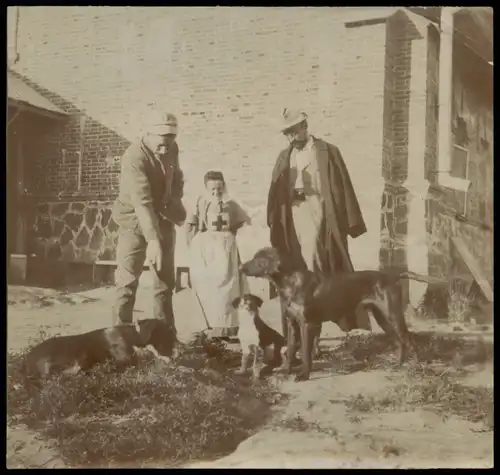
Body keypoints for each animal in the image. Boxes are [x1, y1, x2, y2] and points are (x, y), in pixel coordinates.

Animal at [240, 249, 448, 384]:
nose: (241, 267)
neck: (290, 283)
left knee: (410, 341)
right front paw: (286, 371)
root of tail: (392, 277)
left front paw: (304, 375)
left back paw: (417, 369)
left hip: (394, 316)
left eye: (257, 259)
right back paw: (397, 365)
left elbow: (306, 353)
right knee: (400, 343)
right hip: (383, 318)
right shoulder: (292, 324)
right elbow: (291, 351)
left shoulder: (308, 324)